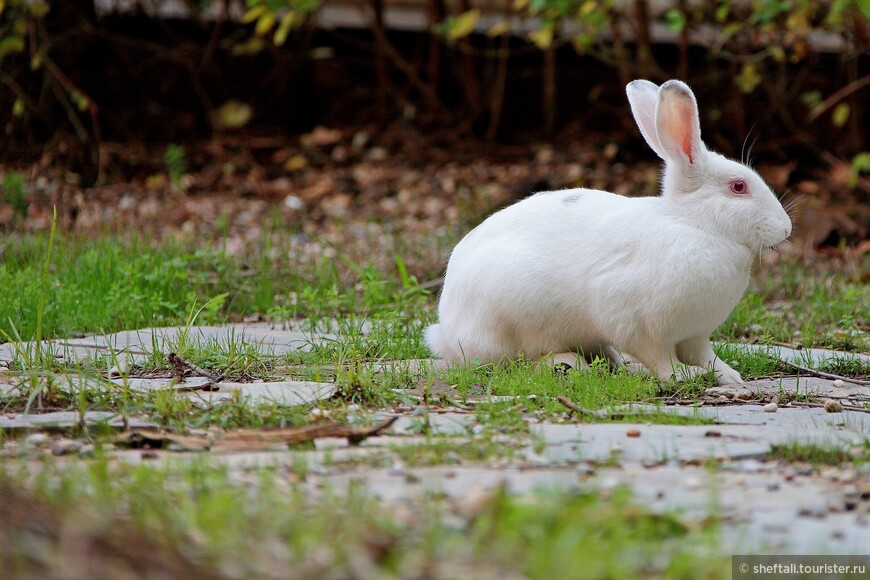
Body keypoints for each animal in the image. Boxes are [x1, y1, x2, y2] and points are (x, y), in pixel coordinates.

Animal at [426, 78, 792, 386]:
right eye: (739, 186)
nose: (786, 229)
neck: (695, 225)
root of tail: (446, 332)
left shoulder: (696, 334)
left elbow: (706, 355)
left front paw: (729, 376)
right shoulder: (640, 325)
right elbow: (660, 359)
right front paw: (684, 376)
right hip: (513, 320)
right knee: (518, 360)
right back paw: (568, 363)